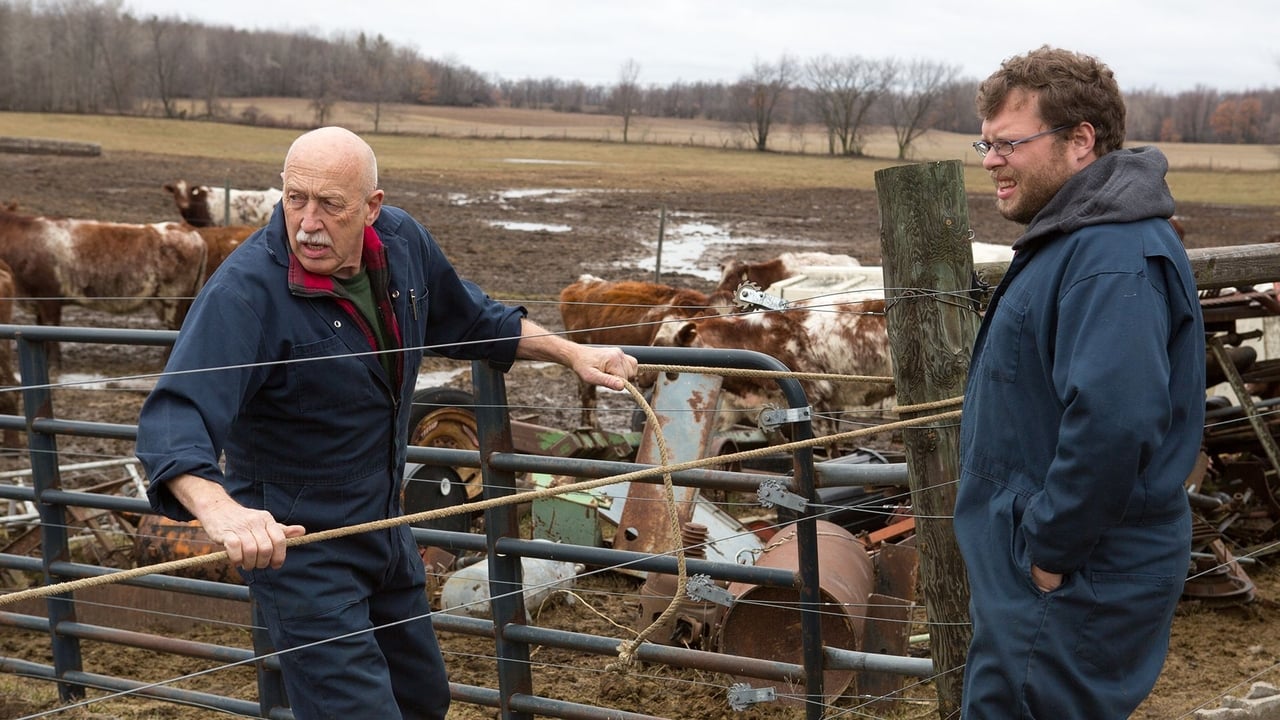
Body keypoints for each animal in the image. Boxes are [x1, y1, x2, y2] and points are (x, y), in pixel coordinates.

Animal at [0, 207, 207, 363]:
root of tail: (190, 232)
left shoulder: (49, 297)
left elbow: (52, 328)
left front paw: (54, 363)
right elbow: (41, 327)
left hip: (173, 299)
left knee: (176, 328)